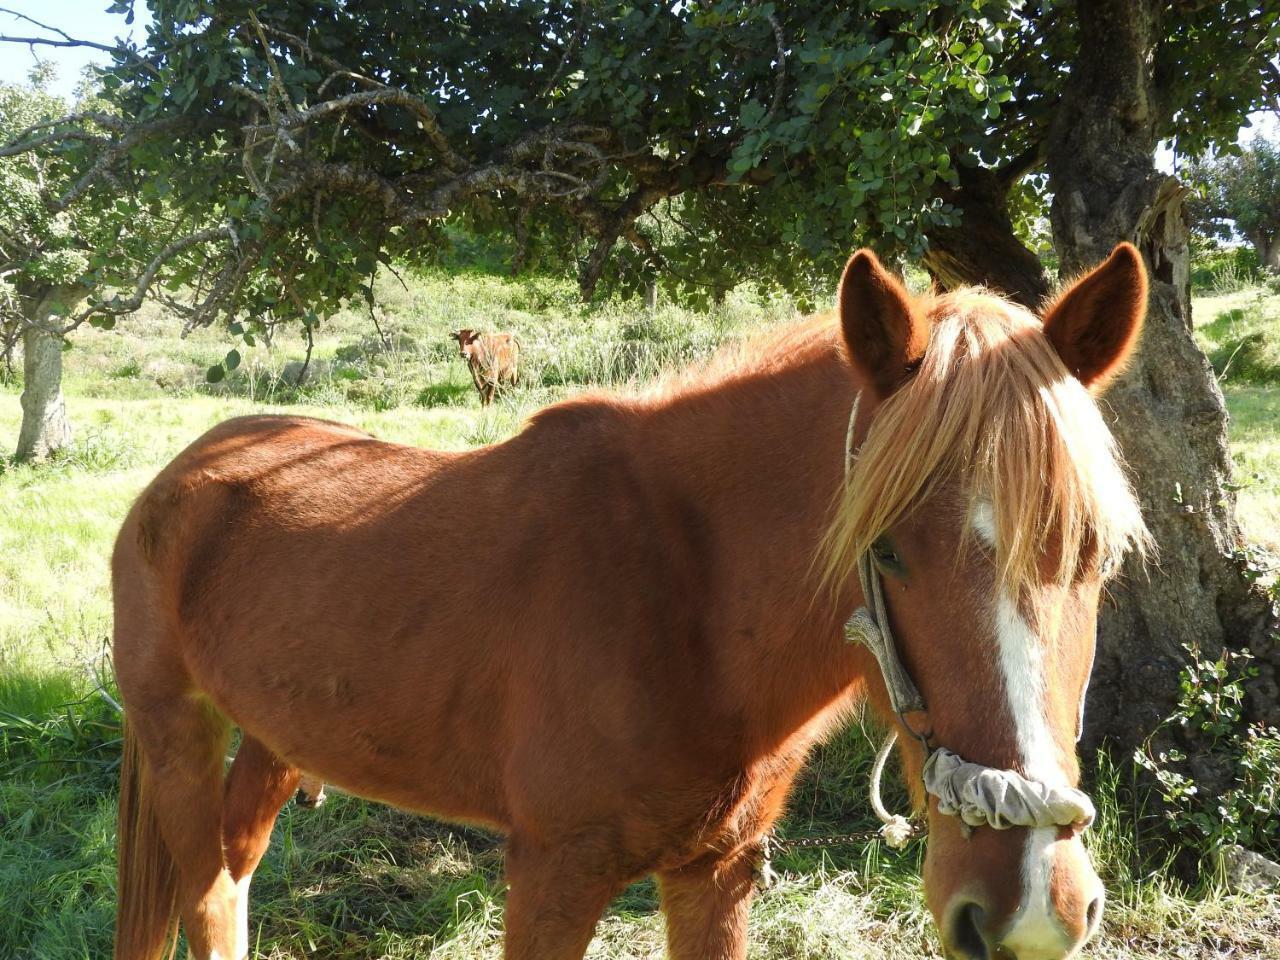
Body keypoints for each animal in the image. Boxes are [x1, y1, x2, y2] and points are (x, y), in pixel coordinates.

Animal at [112, 244, 1152, 957]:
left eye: (1097, 556)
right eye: (886, 552)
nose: (1032, 910)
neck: (682, 588)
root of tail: (179, 477)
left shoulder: (716, 872)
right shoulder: (554, 872)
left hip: (271, 743)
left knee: (230, 880)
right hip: (179, 735)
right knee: (206, 896)